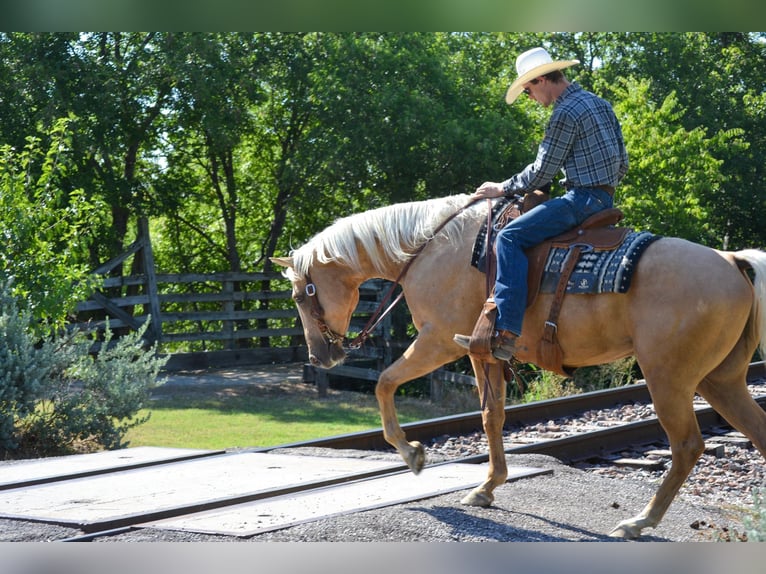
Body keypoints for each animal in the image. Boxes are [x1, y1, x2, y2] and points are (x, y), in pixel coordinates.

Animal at [272, 194, 766, 540]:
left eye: (300, 294)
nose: (319, 357)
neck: (433, 249)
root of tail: (732, 261)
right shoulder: (483, 353)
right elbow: (492, 417)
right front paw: (487, 487)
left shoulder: (438, 341)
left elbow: (385, 384)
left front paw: (412, 454)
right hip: (720, 380)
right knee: (755, 431)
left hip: (669, 378)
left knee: (686, 446)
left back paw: (638, 522)